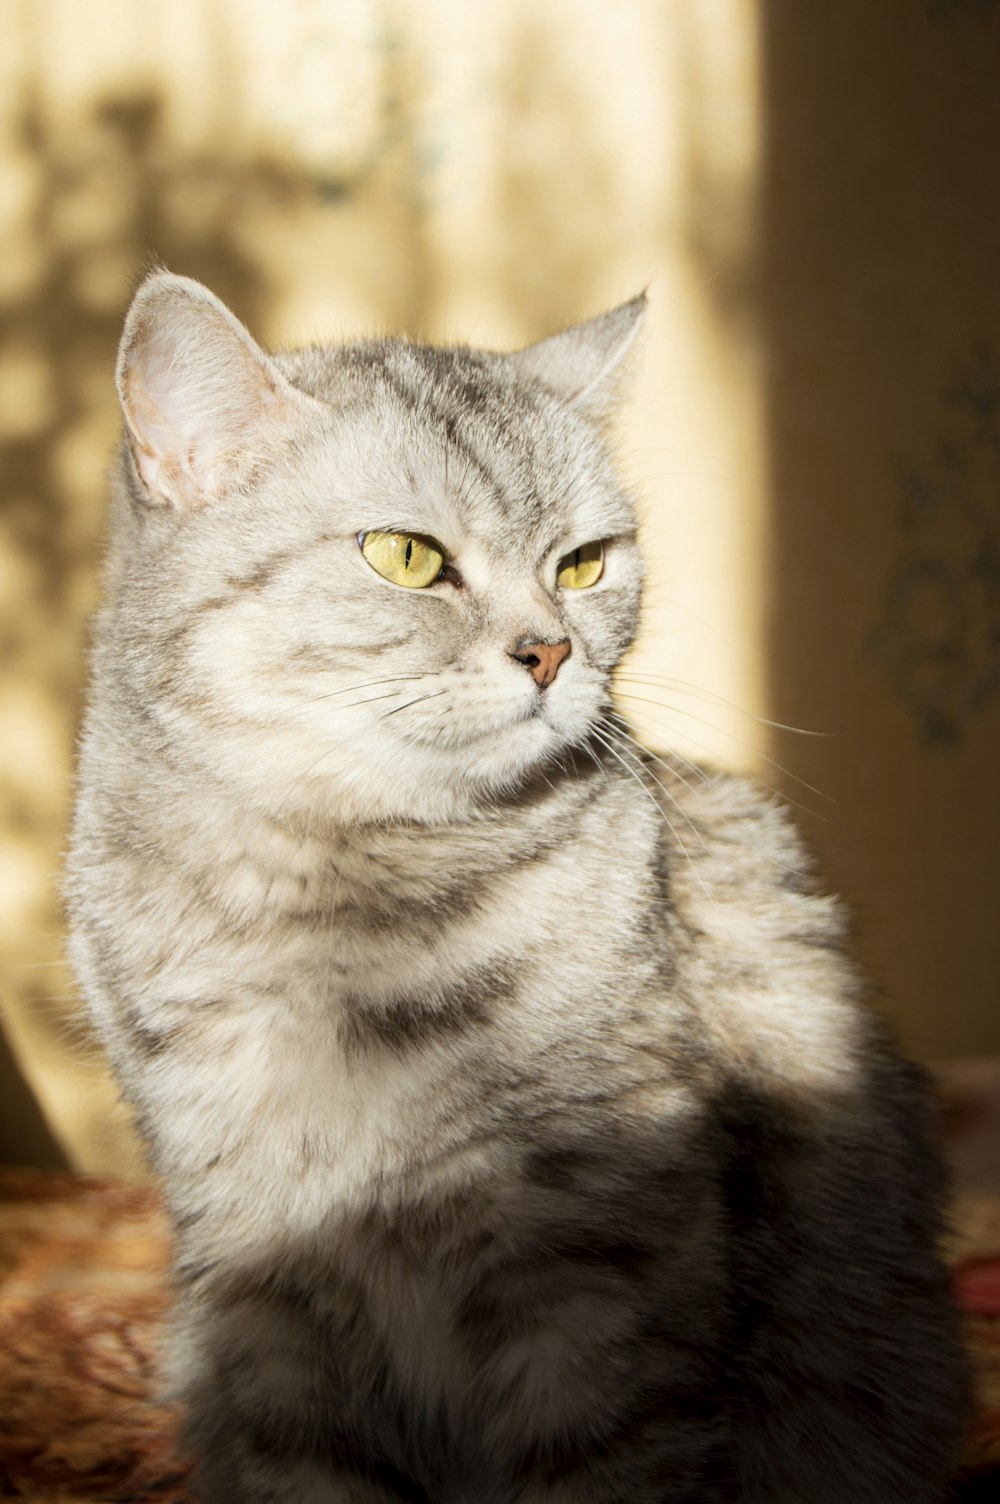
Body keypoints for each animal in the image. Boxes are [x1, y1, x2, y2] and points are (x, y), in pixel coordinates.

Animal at [66, 273, 962, 1504]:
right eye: (404, 556)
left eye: (582, 563)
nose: (549, 652)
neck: (345, 918)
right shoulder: (260, 1280)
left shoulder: (599, 1278)